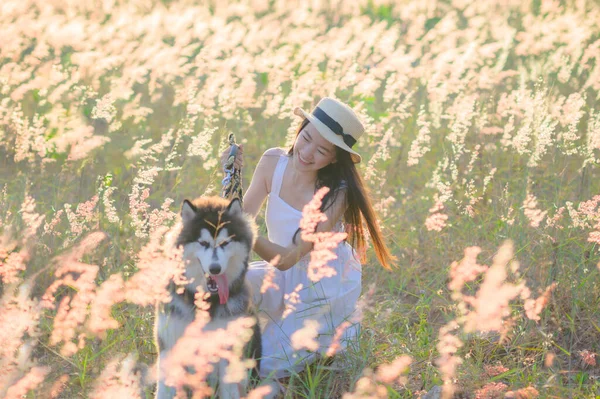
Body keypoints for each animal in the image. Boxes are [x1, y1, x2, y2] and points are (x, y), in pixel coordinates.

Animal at [157, 197, 262, 399]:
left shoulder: (229, 351)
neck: (207, 302)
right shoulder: (170, 345)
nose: (215, 269)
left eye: (225, 243)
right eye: (203, 243)